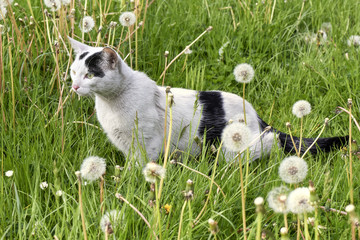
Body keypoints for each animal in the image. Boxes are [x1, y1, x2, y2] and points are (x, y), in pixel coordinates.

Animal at [68, 37, 348, 165]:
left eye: (90, 74)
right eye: (73, 71)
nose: (74, 86)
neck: (110, 104)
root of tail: (257, 116)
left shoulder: (147, 142)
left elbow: (141, 166)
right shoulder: (127, 144)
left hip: (236, 146)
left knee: (270, 144)